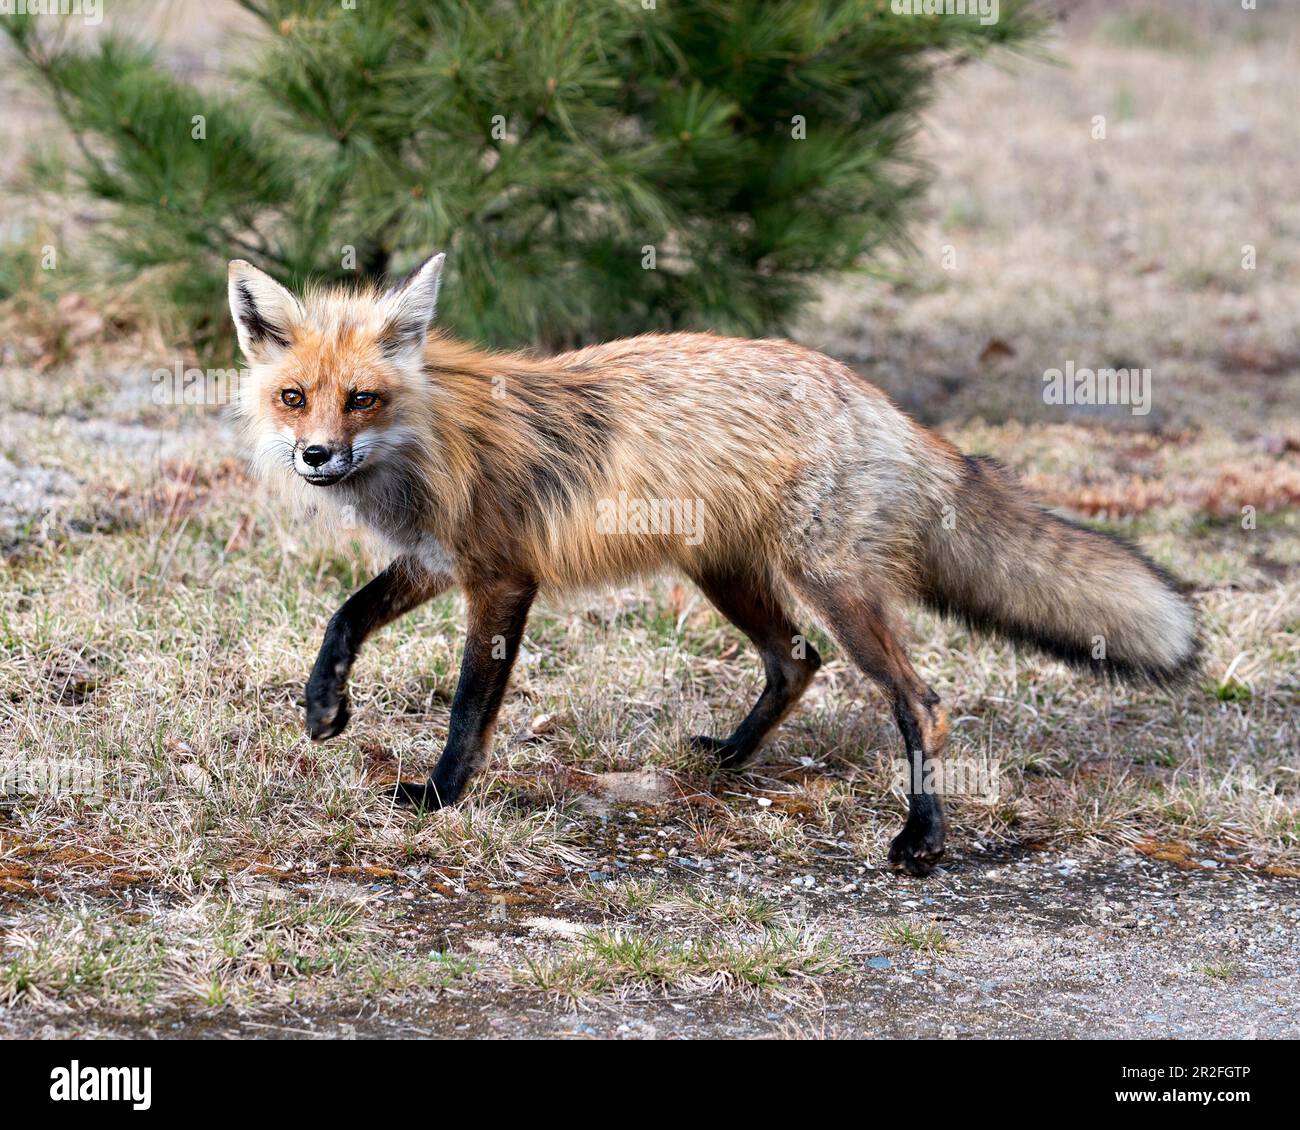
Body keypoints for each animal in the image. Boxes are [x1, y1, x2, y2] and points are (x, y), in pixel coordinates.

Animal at [226, 253, 1196, 873]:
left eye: (362, 398)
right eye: (294, 396)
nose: (316, 456)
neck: (431, 442)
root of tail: (885, 406)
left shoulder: (500, 577)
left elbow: (470, 707)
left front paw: (438, 796)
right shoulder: (435, 561)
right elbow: (344, 615)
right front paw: (323, 708)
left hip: (832, 589)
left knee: (920, 703)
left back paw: (921, 840)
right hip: (729, 577)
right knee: (797, 661)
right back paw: (728, 758)